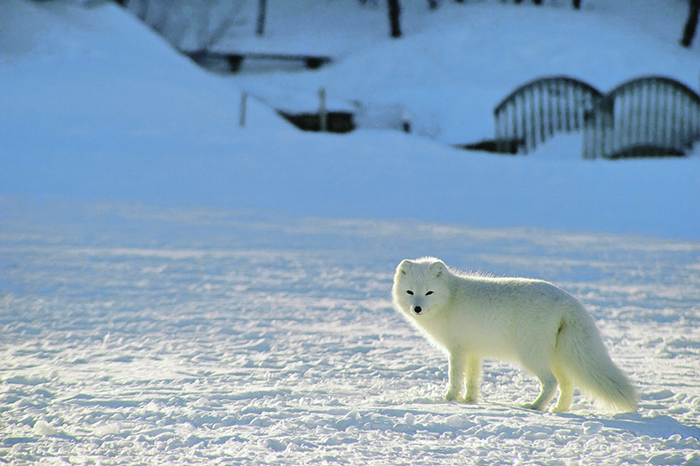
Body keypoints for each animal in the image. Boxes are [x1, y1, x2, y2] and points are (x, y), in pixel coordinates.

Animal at [392, 256, 636, 414]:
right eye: (410, 292)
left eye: (429, 293)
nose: (417, 309)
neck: (450, 298)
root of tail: (569, 301)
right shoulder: (473, 351)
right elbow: (472, 379)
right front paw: (469, 400)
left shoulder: (457, 350)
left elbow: (455, 377)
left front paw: (449, 399)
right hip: (556, 357)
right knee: (567, 384)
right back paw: (559, 409)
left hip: (530, 355)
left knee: (551, 382)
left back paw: (536, 406)